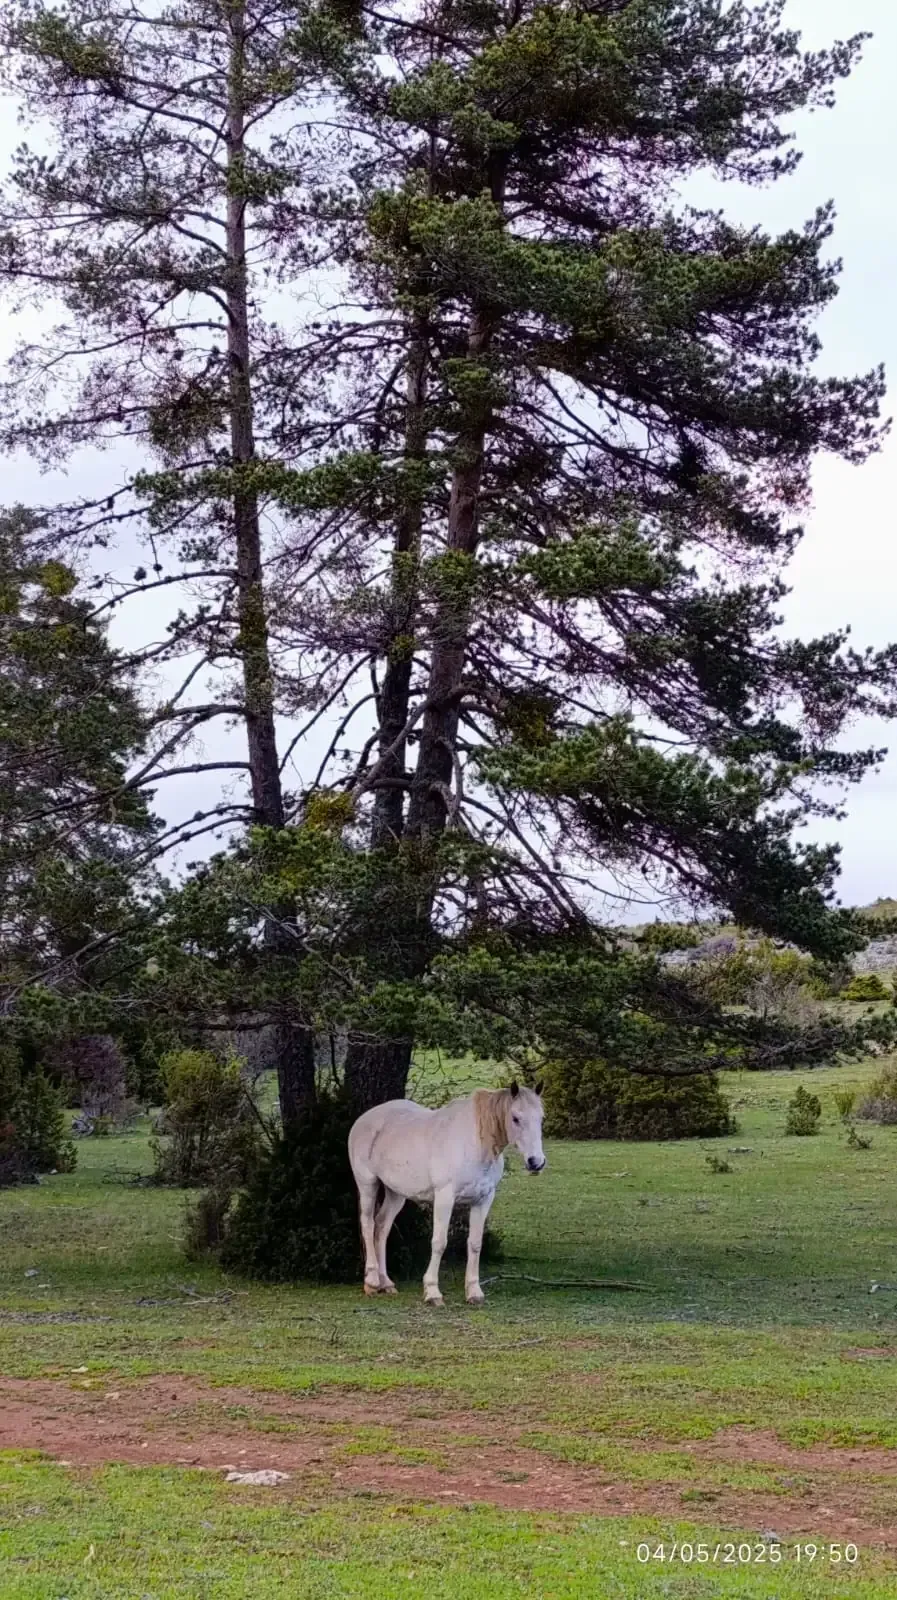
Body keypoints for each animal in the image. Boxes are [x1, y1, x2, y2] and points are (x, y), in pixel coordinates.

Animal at [347, 1081, 545, 1306]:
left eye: (541, 1118)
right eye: (515, 1118)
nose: (536, 1162)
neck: (475, 1143)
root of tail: (364, 1119)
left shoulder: (483, 1200)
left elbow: (475, 1244)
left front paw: (474, 1292)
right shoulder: (444, 1198)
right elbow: (439, 1243)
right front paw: (432, 1292)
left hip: (395, 1193)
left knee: (381, 1227)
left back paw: (386, 1283)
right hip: (367, 1184)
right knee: (368, 1223)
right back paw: (371, 1282)